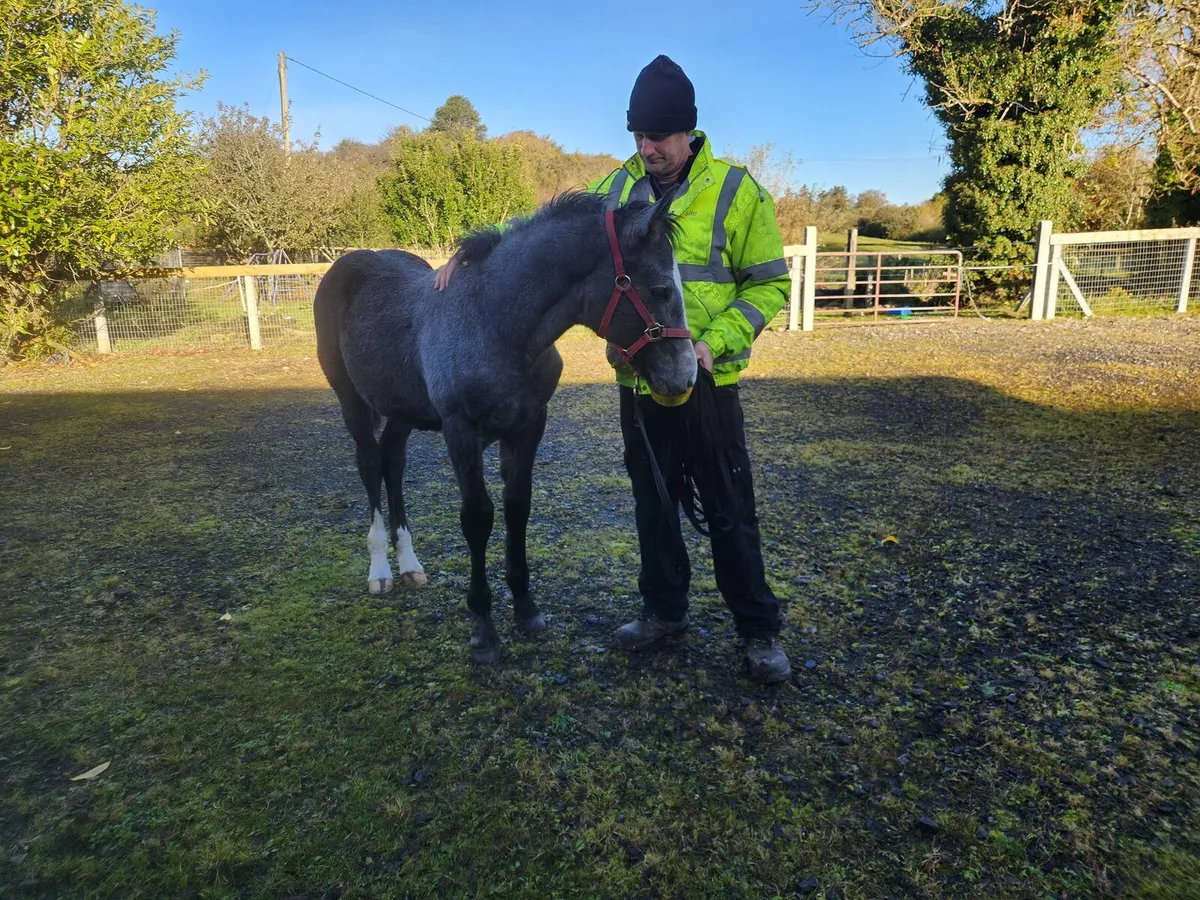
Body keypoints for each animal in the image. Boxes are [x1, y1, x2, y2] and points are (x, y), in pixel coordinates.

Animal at [313, 188, 697, 663]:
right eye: (661, 290)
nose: (686, 377)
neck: (496, 322)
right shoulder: (461, 432)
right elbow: (478, 518)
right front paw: (483, 627)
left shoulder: (527, 427)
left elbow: (518, 507)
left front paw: (525, 608)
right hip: (351, 400)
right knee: (369, 465)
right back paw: (381, 569)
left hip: (401, 408)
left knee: (393, 464)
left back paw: (409, 564)